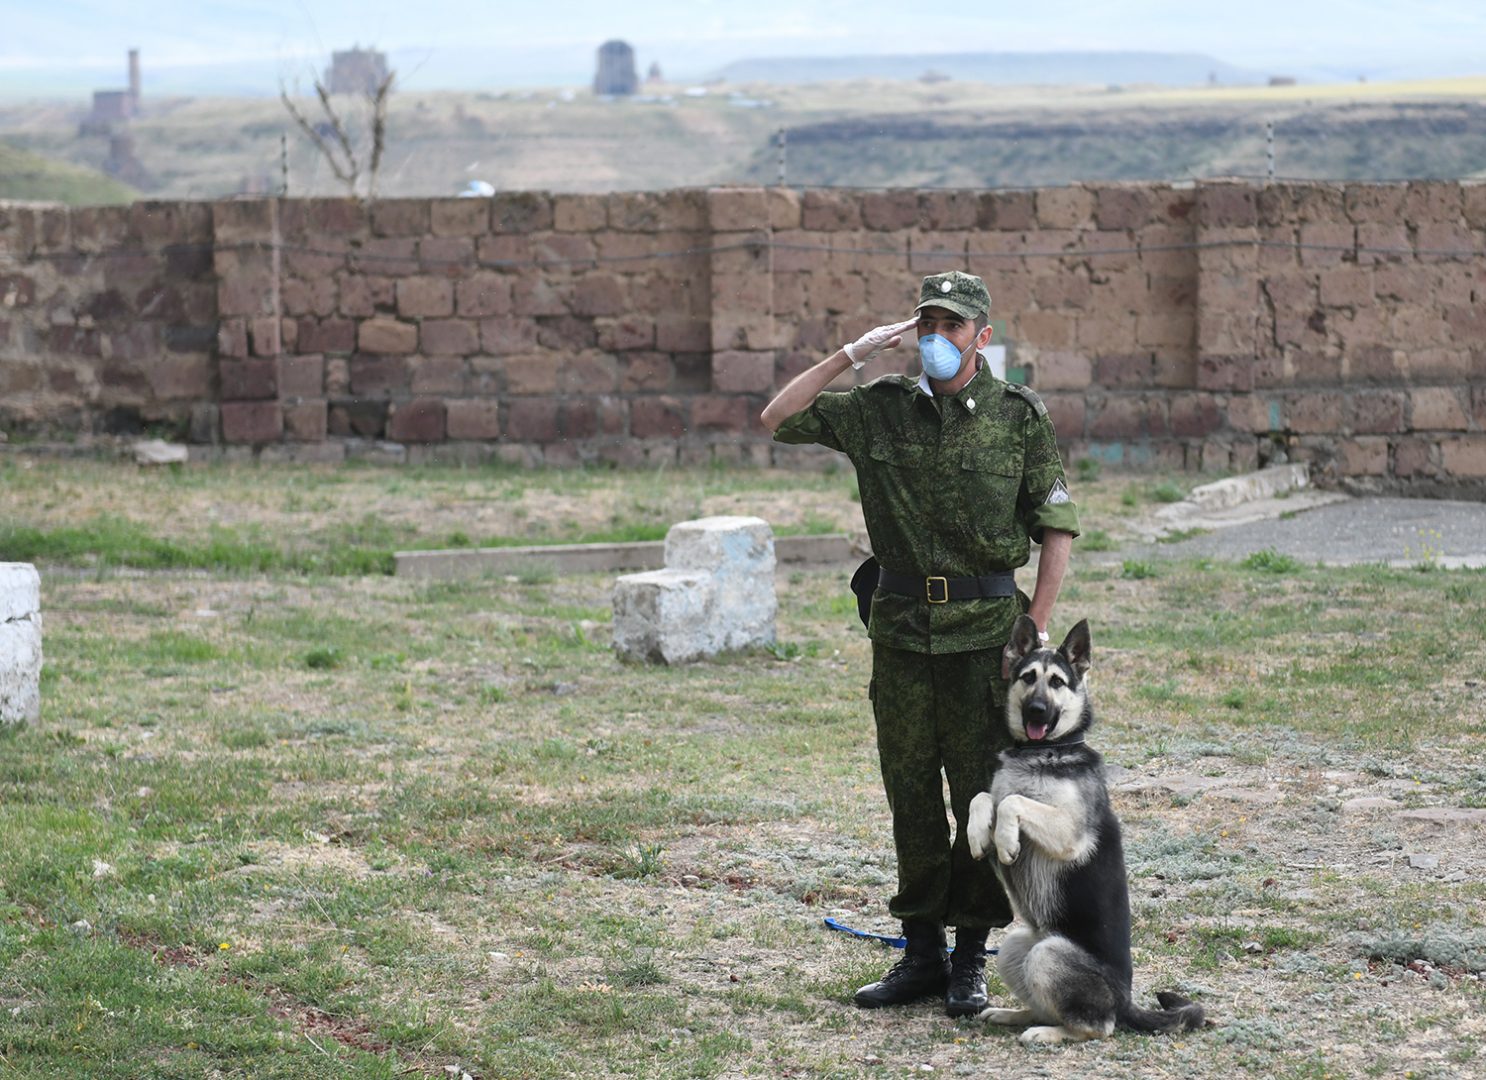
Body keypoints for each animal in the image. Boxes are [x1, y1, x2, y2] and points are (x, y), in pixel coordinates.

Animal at [962, 617, 1206, 1045]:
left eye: (1058, 682)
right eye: (1028, 677)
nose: (1037, 709)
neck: (1041, 753)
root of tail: (1125, 1001)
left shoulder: (1067, 832)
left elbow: (1013, 802)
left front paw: (1007, 839)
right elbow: (984, 797)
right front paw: (978, 833)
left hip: (1049, 955)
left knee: (1097, 1027)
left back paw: (1048, 1033)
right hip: (1016, 946)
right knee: (1046, 1005)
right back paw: (1014, 1014)